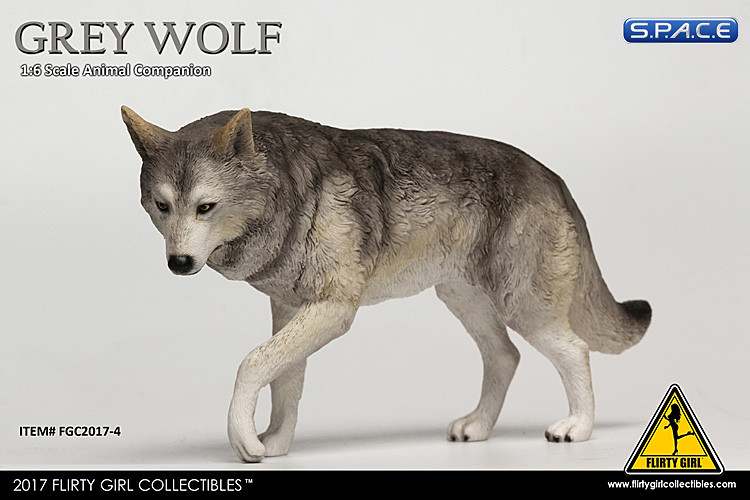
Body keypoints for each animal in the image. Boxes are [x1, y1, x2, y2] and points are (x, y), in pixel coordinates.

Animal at [121, 106, 652, 463]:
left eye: (205, 207)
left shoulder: (333, 310)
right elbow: (284, 384)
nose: (178, 262)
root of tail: (553, 176)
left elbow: (252, 364)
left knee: (574, 350)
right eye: (163, 206)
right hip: (463, 299)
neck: (288, 192)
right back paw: (478, 427)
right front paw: (275, 443)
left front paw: (245, 440)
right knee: (505, 356)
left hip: (524, 306)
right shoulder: (291, 309)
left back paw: (577, 427)